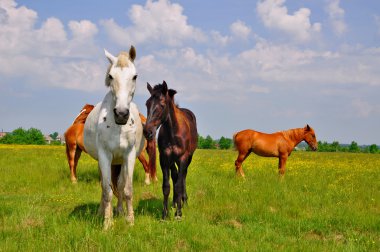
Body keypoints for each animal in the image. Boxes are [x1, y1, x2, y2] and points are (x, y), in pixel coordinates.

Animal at [83, 46, 144, 229]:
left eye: (135, 76)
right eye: (110, 76)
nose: (122, 114)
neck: (118, 127)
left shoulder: (129, 155)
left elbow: (127, 189)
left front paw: (130, 220)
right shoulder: (104, 156)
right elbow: (107, 190)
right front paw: (107, 223)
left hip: (120, 161)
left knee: (121, 184)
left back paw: (120, 211)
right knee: (105, 185)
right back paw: (102, 212)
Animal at [143, 81, 199, 220]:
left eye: (162, 105)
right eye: (147, 104)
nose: (147, 132)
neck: (173, 132)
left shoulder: (183, 158)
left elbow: (179, 184)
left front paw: (178, 214)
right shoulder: (164, 159)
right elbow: (166, 186)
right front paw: (165, 214)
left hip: (188, 158)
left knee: (182, 177)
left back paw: (184, 201)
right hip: (172, 161)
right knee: (175, 176)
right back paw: (174, 202)